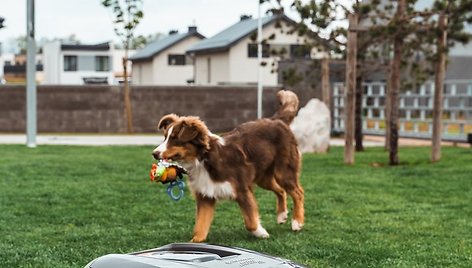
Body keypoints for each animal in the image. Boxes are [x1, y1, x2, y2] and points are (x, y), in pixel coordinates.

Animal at [153, 91, 304, 242]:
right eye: (165, 137)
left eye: (175, 139)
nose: (154, 153)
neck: (203, 159)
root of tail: (277, 120)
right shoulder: (205, 196)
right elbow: (200, 226)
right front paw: (194, 243)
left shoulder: (242, 190)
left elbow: (250, 222)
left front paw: (261, 233)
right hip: (263, 178)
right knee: (281, 190)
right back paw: (282, 215)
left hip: (283, 171)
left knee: (298, 192)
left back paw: (297, 222)